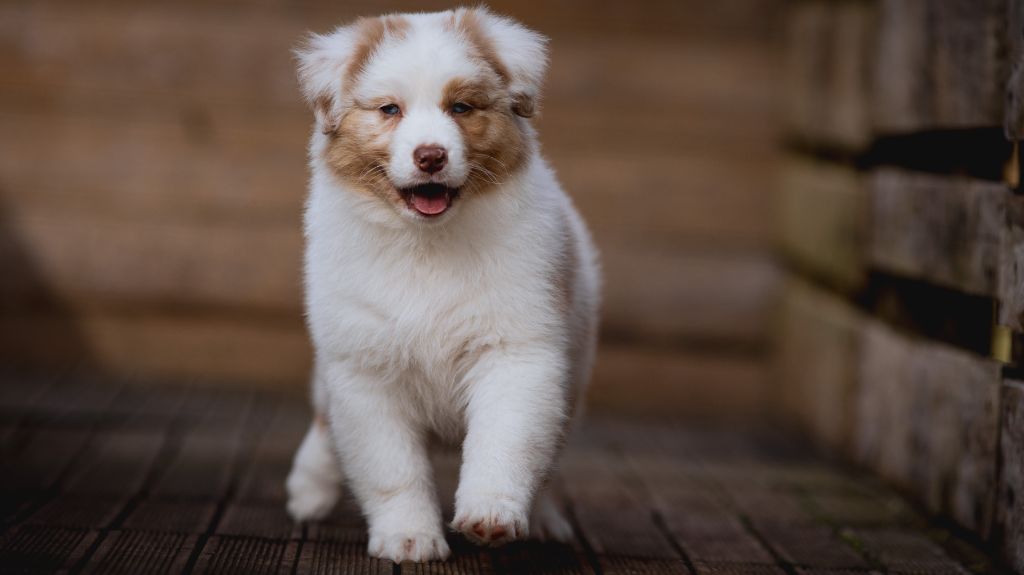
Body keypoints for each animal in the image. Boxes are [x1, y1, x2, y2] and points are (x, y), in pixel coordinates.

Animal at [284, 7, 598, 560]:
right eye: (390, 109)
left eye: (461, 107)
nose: (430, 156)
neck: (426, 244)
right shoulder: (364, 367)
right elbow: (391, 467)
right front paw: (408, 538)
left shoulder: (517, 353)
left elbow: (506, 440)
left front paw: (492, 514)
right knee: (325, 420)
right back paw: (309, 489)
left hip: (573, 378)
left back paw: (545, 519)